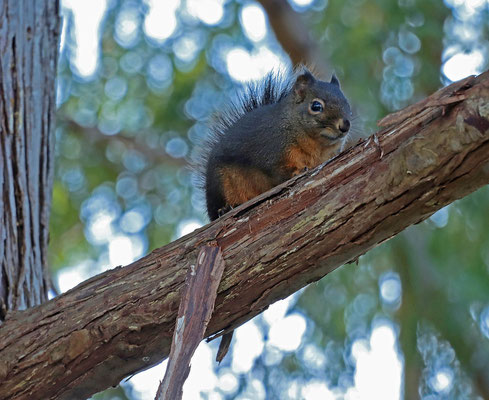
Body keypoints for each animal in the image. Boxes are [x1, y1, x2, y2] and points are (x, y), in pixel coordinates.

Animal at [196, 68, 352, 362]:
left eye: (347, 102)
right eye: (316, 106)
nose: (345, 125)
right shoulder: (271, 151)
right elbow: (279, 171)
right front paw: (296, 172)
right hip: (222, 183)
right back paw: (225, 209)